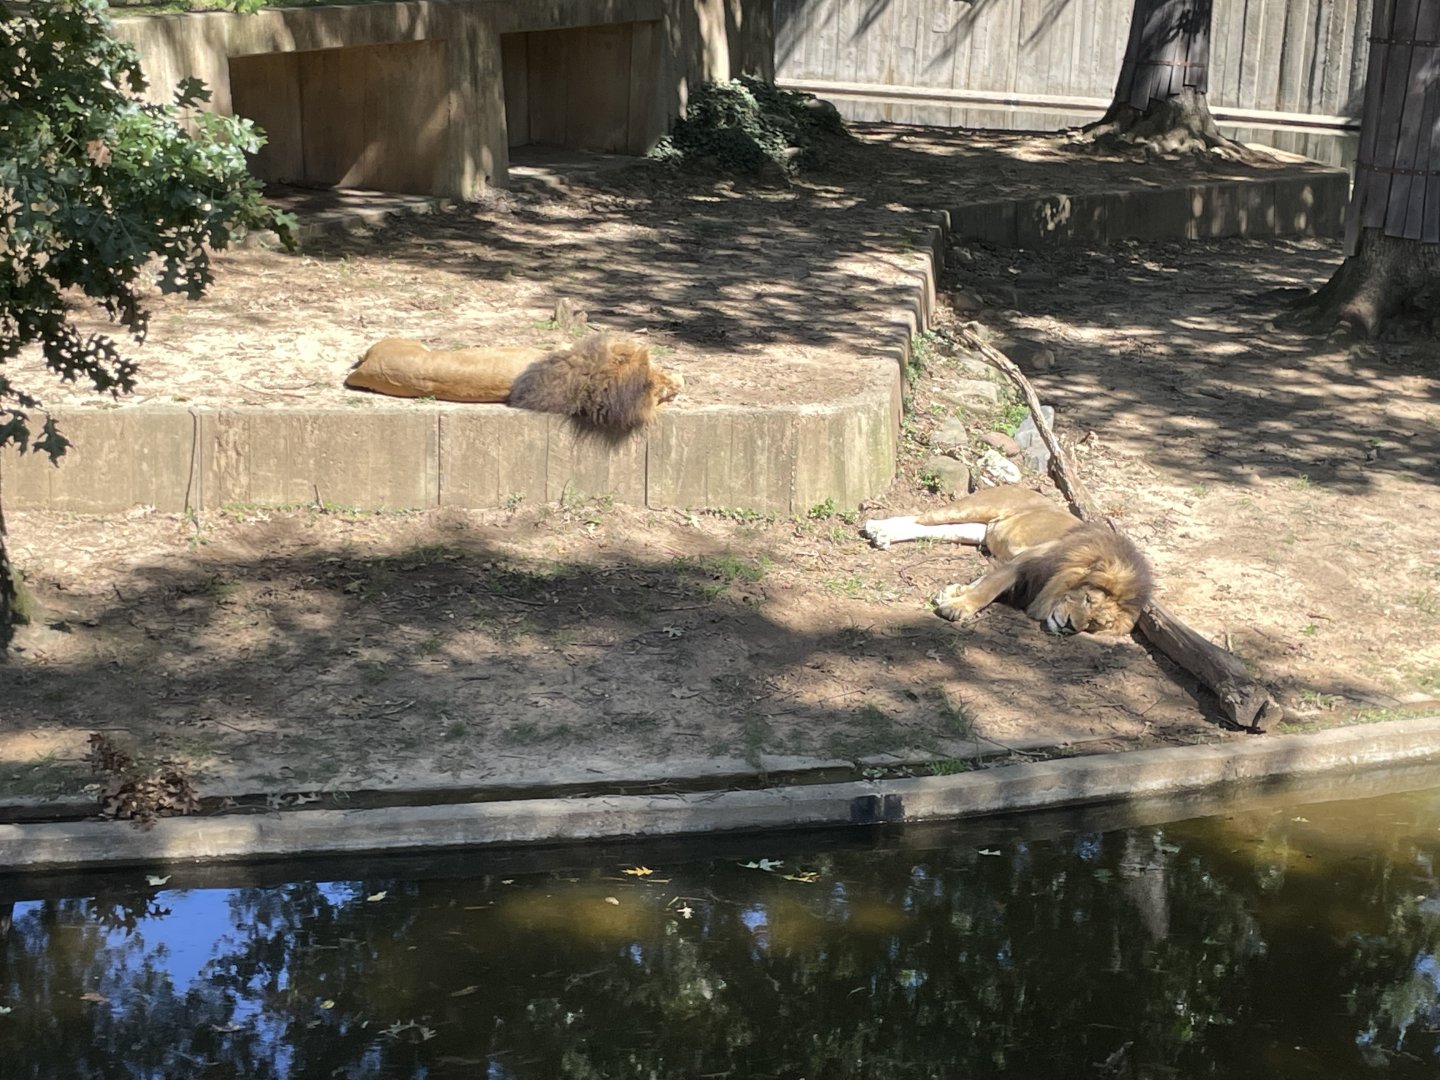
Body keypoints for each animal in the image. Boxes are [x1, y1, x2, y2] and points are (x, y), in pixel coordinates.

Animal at [862, 486, 1152, 635]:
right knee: (919, 517)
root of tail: (1024, 485)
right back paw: (876, 528)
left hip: (976, 530)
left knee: (928, 529)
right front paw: (957, 607)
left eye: (1095, 624)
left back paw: (883, 534)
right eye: (1088, 599)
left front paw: (952, 594)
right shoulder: (1025, 561)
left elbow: (982, 582)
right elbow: (987, 590)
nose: (1071, 627)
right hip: (970, 508)